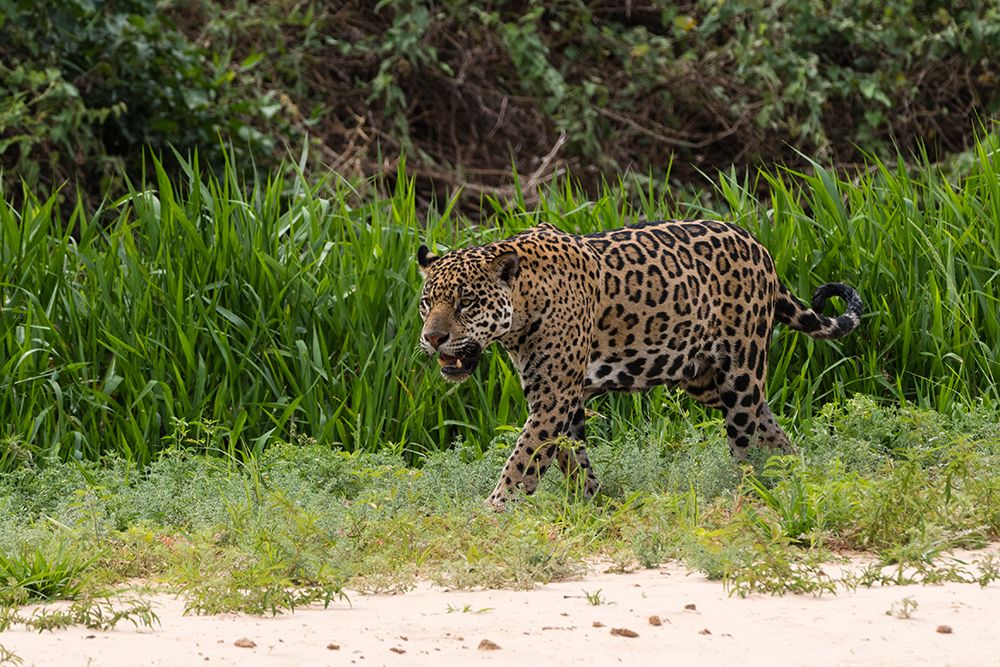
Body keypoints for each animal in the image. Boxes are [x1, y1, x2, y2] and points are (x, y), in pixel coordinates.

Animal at [417, 220, 862, 510]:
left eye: (466, 302)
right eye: (426, 303)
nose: (432, 338)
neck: (523, 305)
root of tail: (759, 245)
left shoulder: (554, 397)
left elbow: (523, 459)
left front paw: (492, 511)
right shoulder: (564, 399)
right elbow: (570, 458)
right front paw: (593, 506)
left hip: (740, 375)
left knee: (746, 445)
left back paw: (753, 496)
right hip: (707, 381)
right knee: (772, 429)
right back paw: (797, 477)